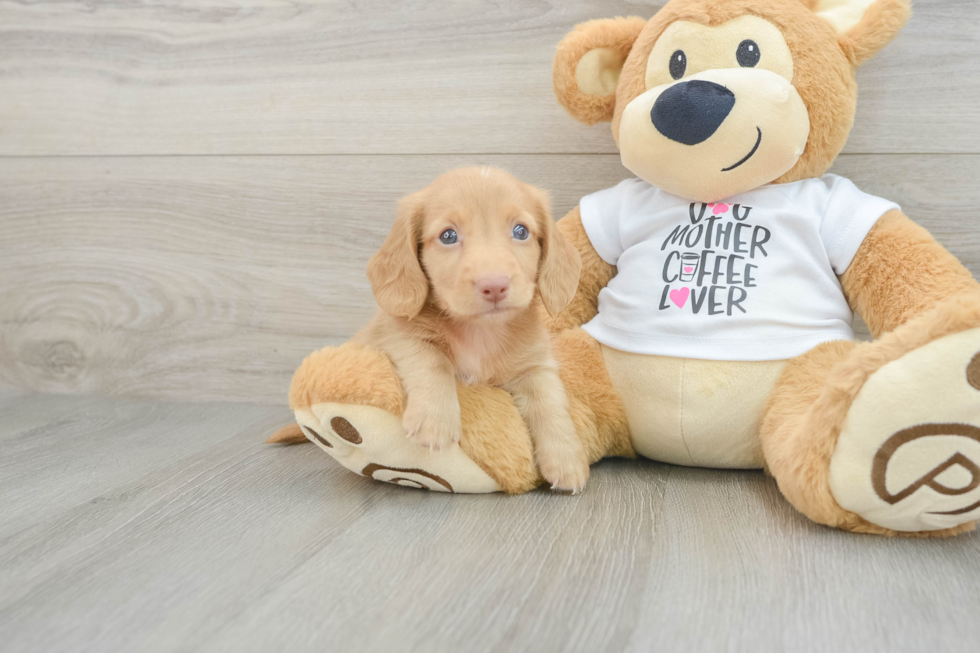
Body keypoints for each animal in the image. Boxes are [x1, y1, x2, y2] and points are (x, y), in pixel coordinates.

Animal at [358, 166, 592, 492]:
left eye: (521, 231)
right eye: (448, 236)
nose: (494, 285)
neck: (480, 331)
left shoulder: (535, 366)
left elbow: (550, 403)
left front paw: (566, 457)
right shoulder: (396, 333)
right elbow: (433, 360)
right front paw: (435, 420)